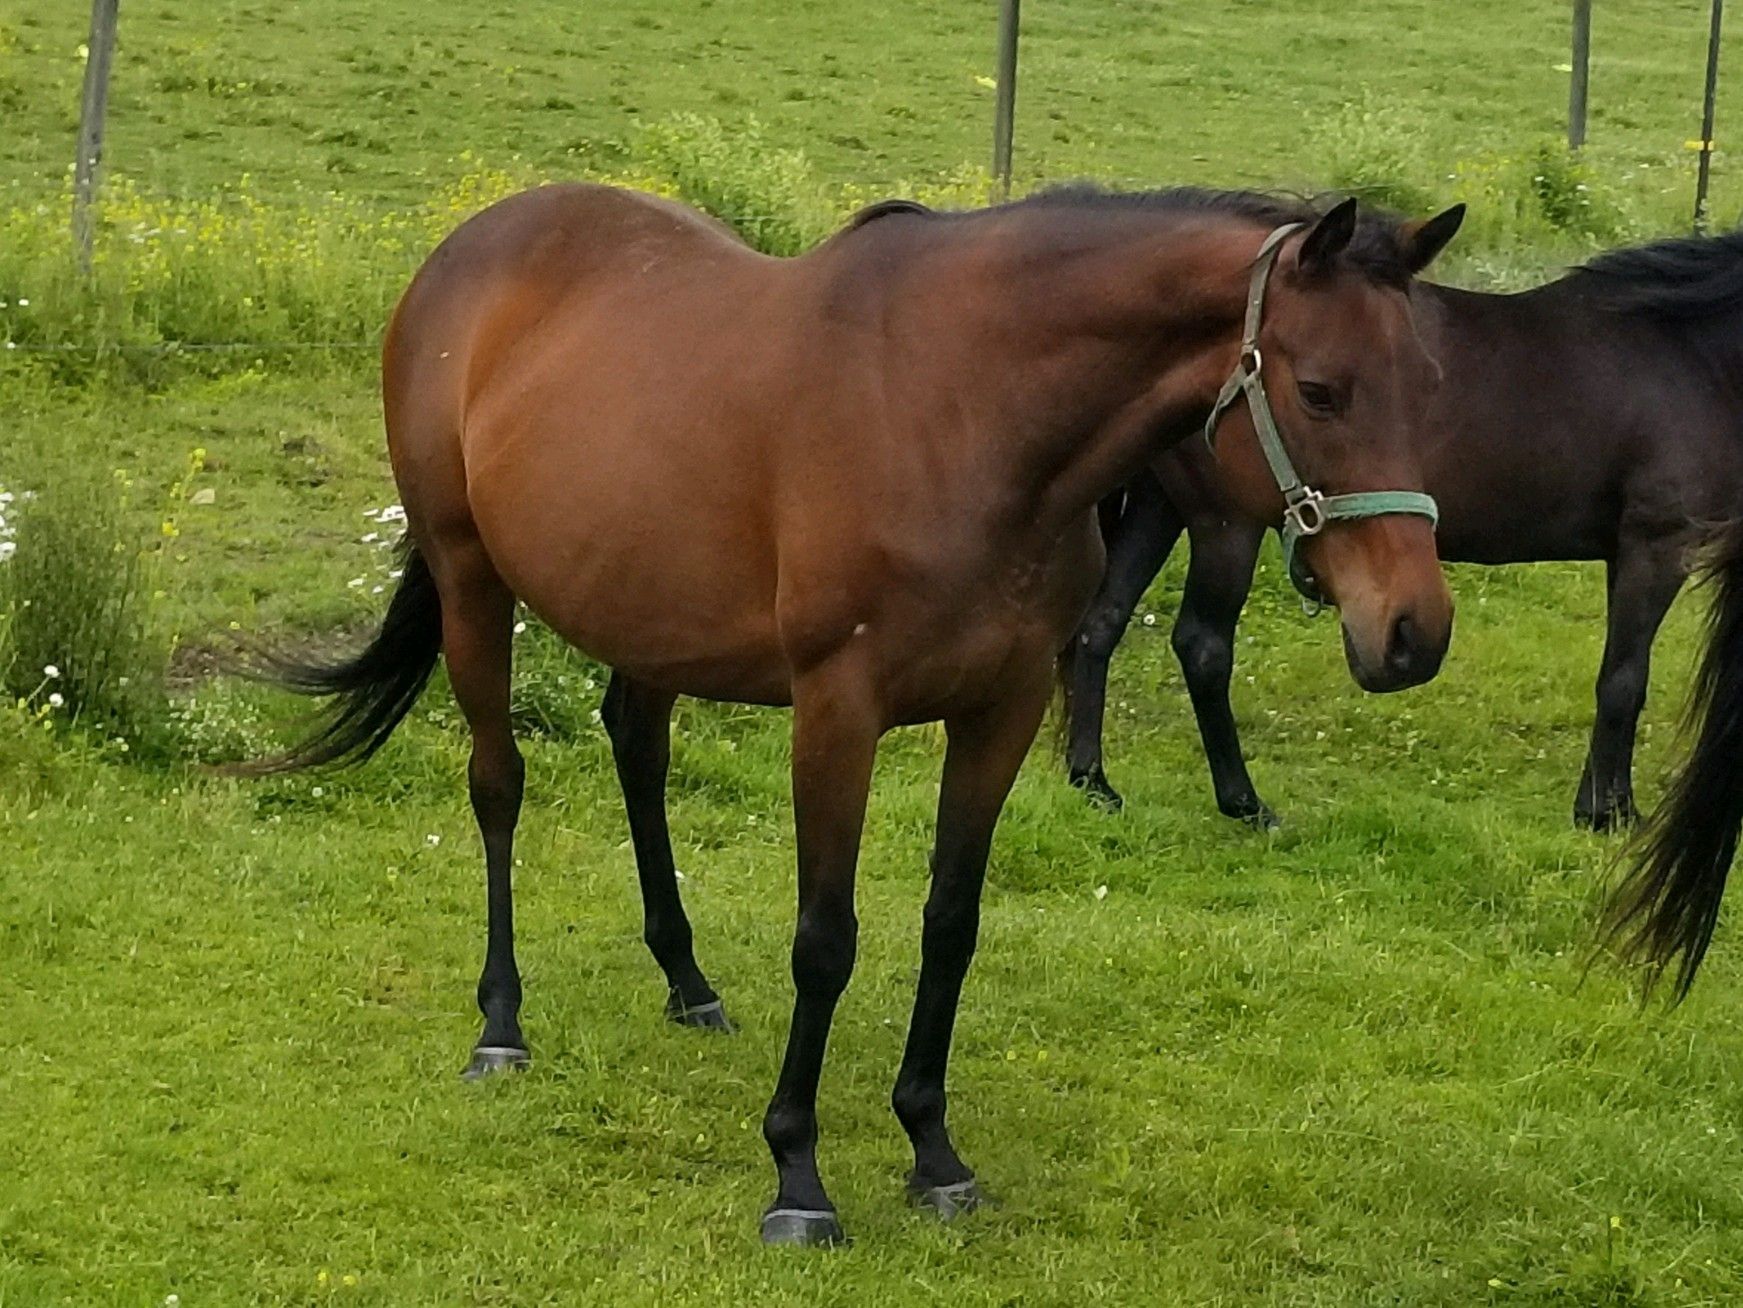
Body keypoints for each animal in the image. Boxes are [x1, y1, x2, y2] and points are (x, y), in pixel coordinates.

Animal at [243, 181, 1464, 1245]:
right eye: (1321, 390)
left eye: (1425, 384)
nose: (1414, 630)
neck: (959, 411)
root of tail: (471, 247)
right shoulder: (837, 710)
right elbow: (825, 940)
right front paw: (797, 1175)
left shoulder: (1002, 709)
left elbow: (950, 925)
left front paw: (934, 1153)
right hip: (470, 583)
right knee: (498, 787)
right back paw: (500, 1025)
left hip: (646, 614)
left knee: (637, 752)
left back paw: (687, 982)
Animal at [1062, 228, 1743, 830]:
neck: (1689, 357)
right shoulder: (1657, 546)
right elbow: (1624, 681)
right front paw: (1607, 813)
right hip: (1224, 522)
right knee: (1202, 646)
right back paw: (1244, 802)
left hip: (1160, 508)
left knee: (1100, 623)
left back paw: (1091, 781)